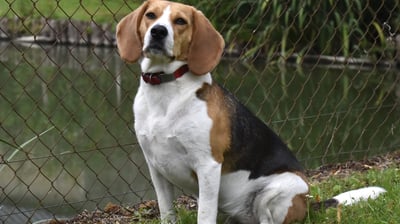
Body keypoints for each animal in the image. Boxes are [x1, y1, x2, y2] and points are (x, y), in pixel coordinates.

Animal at [115, 0, 384, 223]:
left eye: (180, 21)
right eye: (151, 15)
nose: (158, 31)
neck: (166, 89)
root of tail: (309, 205)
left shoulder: (208, 166)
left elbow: (204, 216)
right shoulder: (156, 168)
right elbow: (167, 212)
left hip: (276, 191)